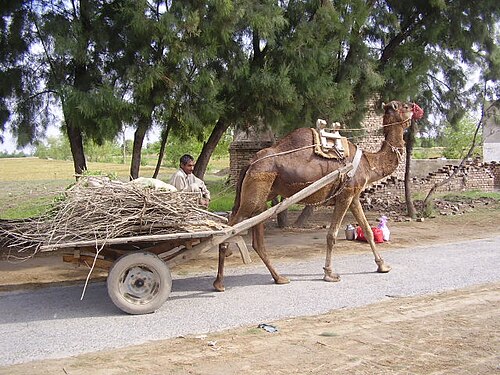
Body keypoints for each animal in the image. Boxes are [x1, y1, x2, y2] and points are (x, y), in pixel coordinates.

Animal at [213, 101, 424, 292]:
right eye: (406, 106)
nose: (418, 109)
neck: (368, 162)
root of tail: (250, 163)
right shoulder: (345, 195)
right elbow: (332, 235)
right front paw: (329, 274)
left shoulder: (354, 196)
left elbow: (368, 230)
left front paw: (383, 265)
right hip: (256, 190)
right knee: (228, 230)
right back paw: (219, 284)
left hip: (262, 195)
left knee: (256, 240)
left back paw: (279, 278)